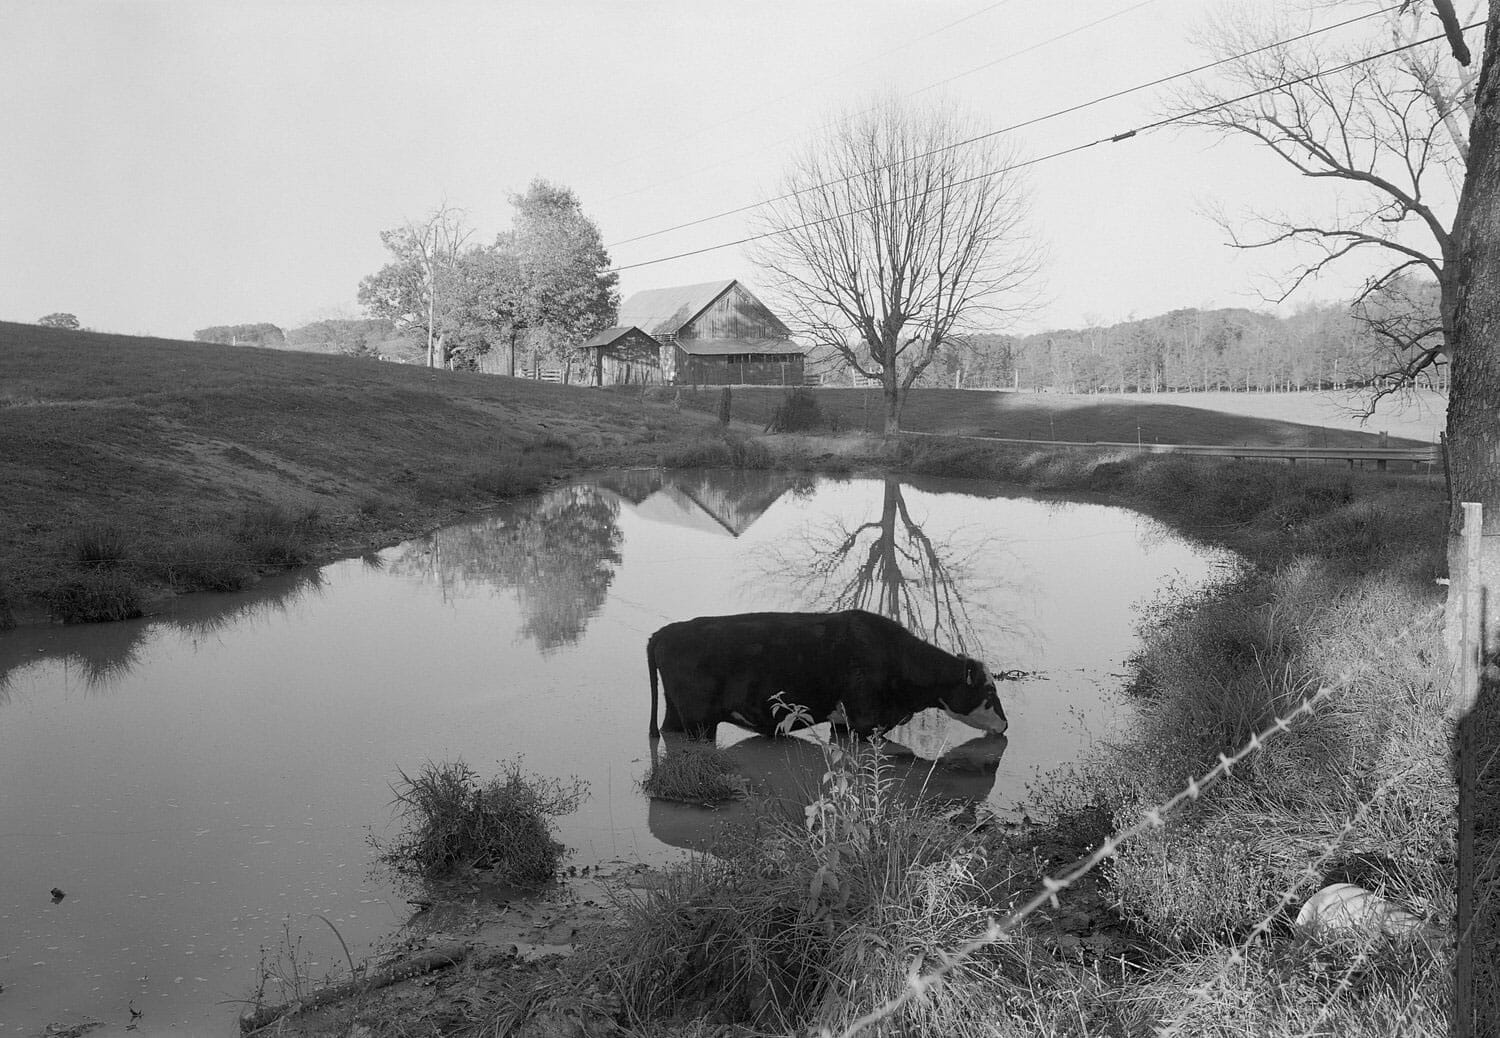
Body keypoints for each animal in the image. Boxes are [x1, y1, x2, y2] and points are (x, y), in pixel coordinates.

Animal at [645, 612, 1008, 741]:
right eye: (989, 693)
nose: (1005, 724)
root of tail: (665, 632)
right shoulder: (864, 722)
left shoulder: (843, 724)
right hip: (699, 722)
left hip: (676, 715)